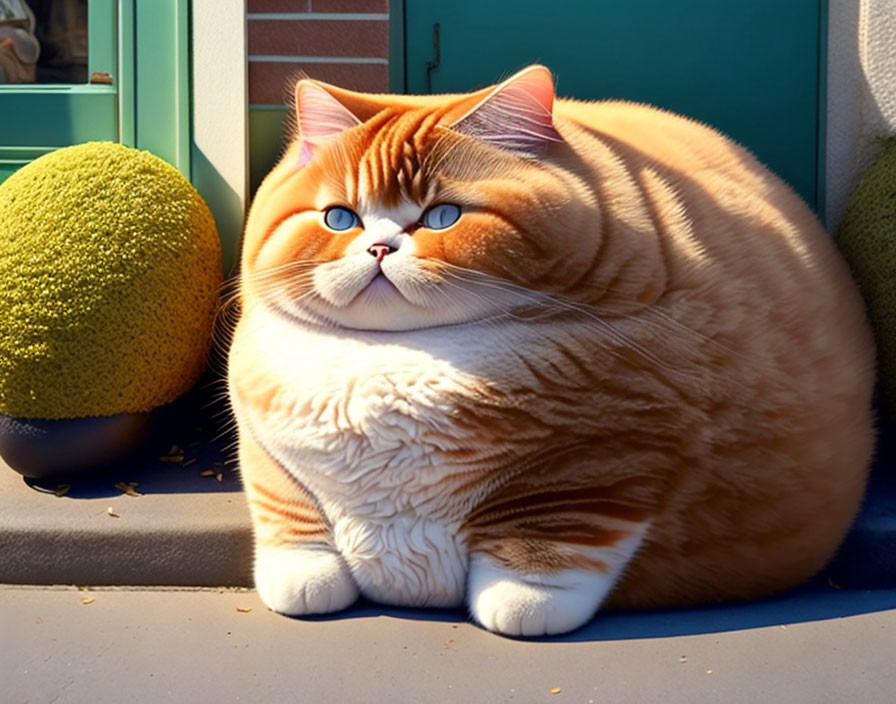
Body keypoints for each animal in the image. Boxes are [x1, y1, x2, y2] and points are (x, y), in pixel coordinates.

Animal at [229, 67, 876, 640]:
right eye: (341, 217)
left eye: (443, 215)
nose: (381, 247)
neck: (400, 356)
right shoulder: (266, 446)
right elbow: (288, 512)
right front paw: (304, 575)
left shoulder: (609, 458)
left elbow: (549, 538)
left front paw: (524, 599)